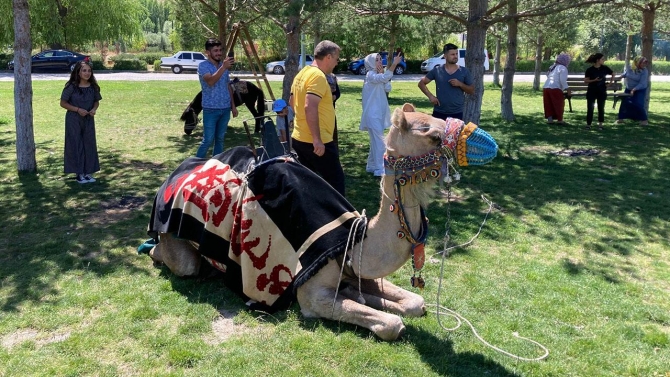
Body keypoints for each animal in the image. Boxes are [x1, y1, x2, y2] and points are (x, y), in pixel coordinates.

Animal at [143, 103, 498, 340]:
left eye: (438, 119)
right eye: (430, 133)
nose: (486, 142)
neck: (355, 238)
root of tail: (170, 178)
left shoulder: (351, 269)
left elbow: (415, 303)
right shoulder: (312, 295)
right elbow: (391, 324)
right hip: (173, 240)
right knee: (177, 260)